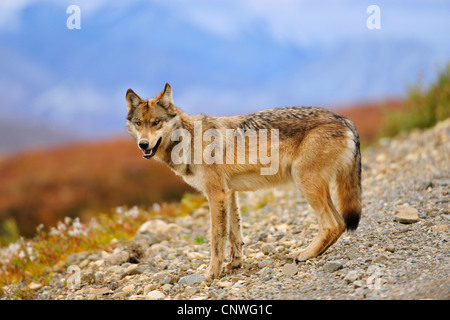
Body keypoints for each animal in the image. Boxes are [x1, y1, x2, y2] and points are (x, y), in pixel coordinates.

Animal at [124, 84, 362, 278]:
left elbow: (216, 239)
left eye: (156, 123)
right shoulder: (229, 193)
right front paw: (235, 264)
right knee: (340, 223)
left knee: (331, 224)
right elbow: (234, 234)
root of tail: (344, 119)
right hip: (318, 187)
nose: (143, 145)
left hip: (305, 182)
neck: (189, 140)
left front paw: (212, 273)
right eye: (139, 123)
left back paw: (304, 254)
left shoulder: (216, 194)